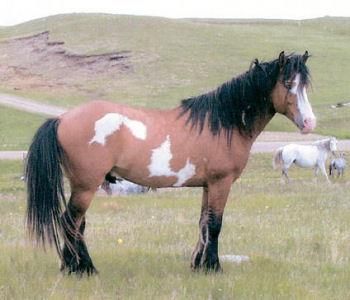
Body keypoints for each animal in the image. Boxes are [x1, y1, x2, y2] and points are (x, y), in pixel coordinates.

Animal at [26, 51, 316, 274]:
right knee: (70, 221)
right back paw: (82, 268)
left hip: (83, 185)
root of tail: (62, 119)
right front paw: (213, 267)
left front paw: (198, 265)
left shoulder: (208, 185)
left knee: (77, 224)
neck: (223, 123)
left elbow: (203, 223)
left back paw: (72, 266)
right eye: (287, 83)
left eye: (304, 86)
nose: (309, 123)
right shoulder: (221, 183)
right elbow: (215, 225)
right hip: (87, 185)